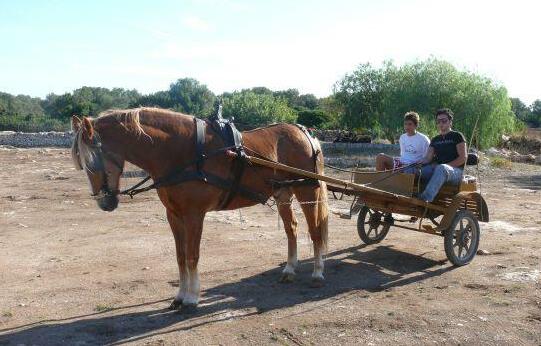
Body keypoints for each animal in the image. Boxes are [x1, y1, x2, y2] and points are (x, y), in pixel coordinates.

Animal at [69, 107, 326, 312]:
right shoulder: (174, 215)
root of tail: (303, 132)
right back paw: (289, 270)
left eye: (92, 162)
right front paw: (180, 296)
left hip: (307, 191)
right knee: (291, 229)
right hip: (283, 193)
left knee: (315, 230)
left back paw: (317, 273)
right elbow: (180, 256)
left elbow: (192, 255)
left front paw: (192, 298)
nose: (104, 203)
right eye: (82, 164)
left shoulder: (194, 215)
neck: (184, 152)